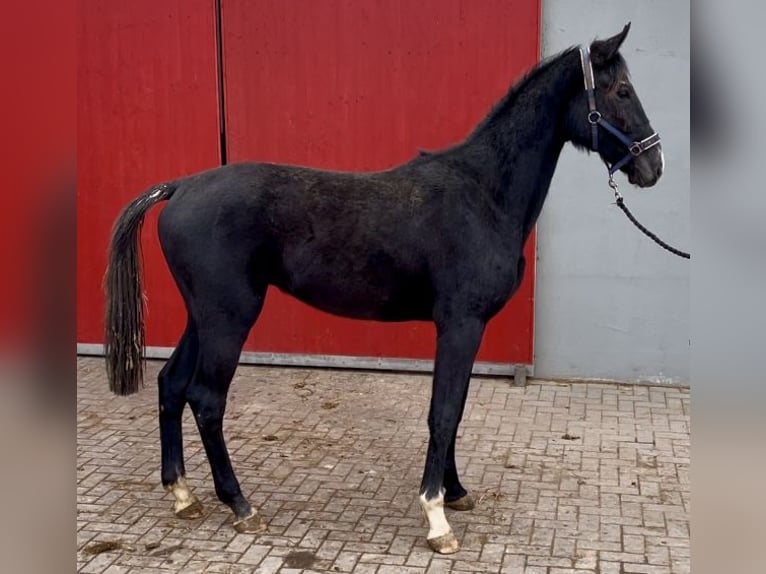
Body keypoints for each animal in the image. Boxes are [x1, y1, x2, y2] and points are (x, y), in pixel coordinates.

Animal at [103, 24, 664, 556]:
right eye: (620, 90)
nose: (652, 166)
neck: (482, 194)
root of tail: (180, 187)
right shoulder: (460, 325)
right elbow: (443, 412)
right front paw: (437, 519)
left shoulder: (463, 330)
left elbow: (455, 409)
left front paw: (455, 493)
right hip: (229, 318)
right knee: (206, 398)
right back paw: (240, 504)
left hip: (202, 318)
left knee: (172, 385)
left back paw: (183, 496)